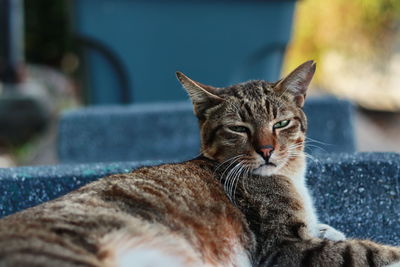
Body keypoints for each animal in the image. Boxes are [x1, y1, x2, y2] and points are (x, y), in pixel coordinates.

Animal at [0, 61, 398, 267]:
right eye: (239, 128)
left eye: (281, 123)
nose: (267, 150)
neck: (290, 175)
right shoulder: (282, 249)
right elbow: (366, 251)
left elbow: (329, 232)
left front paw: (328, 228)